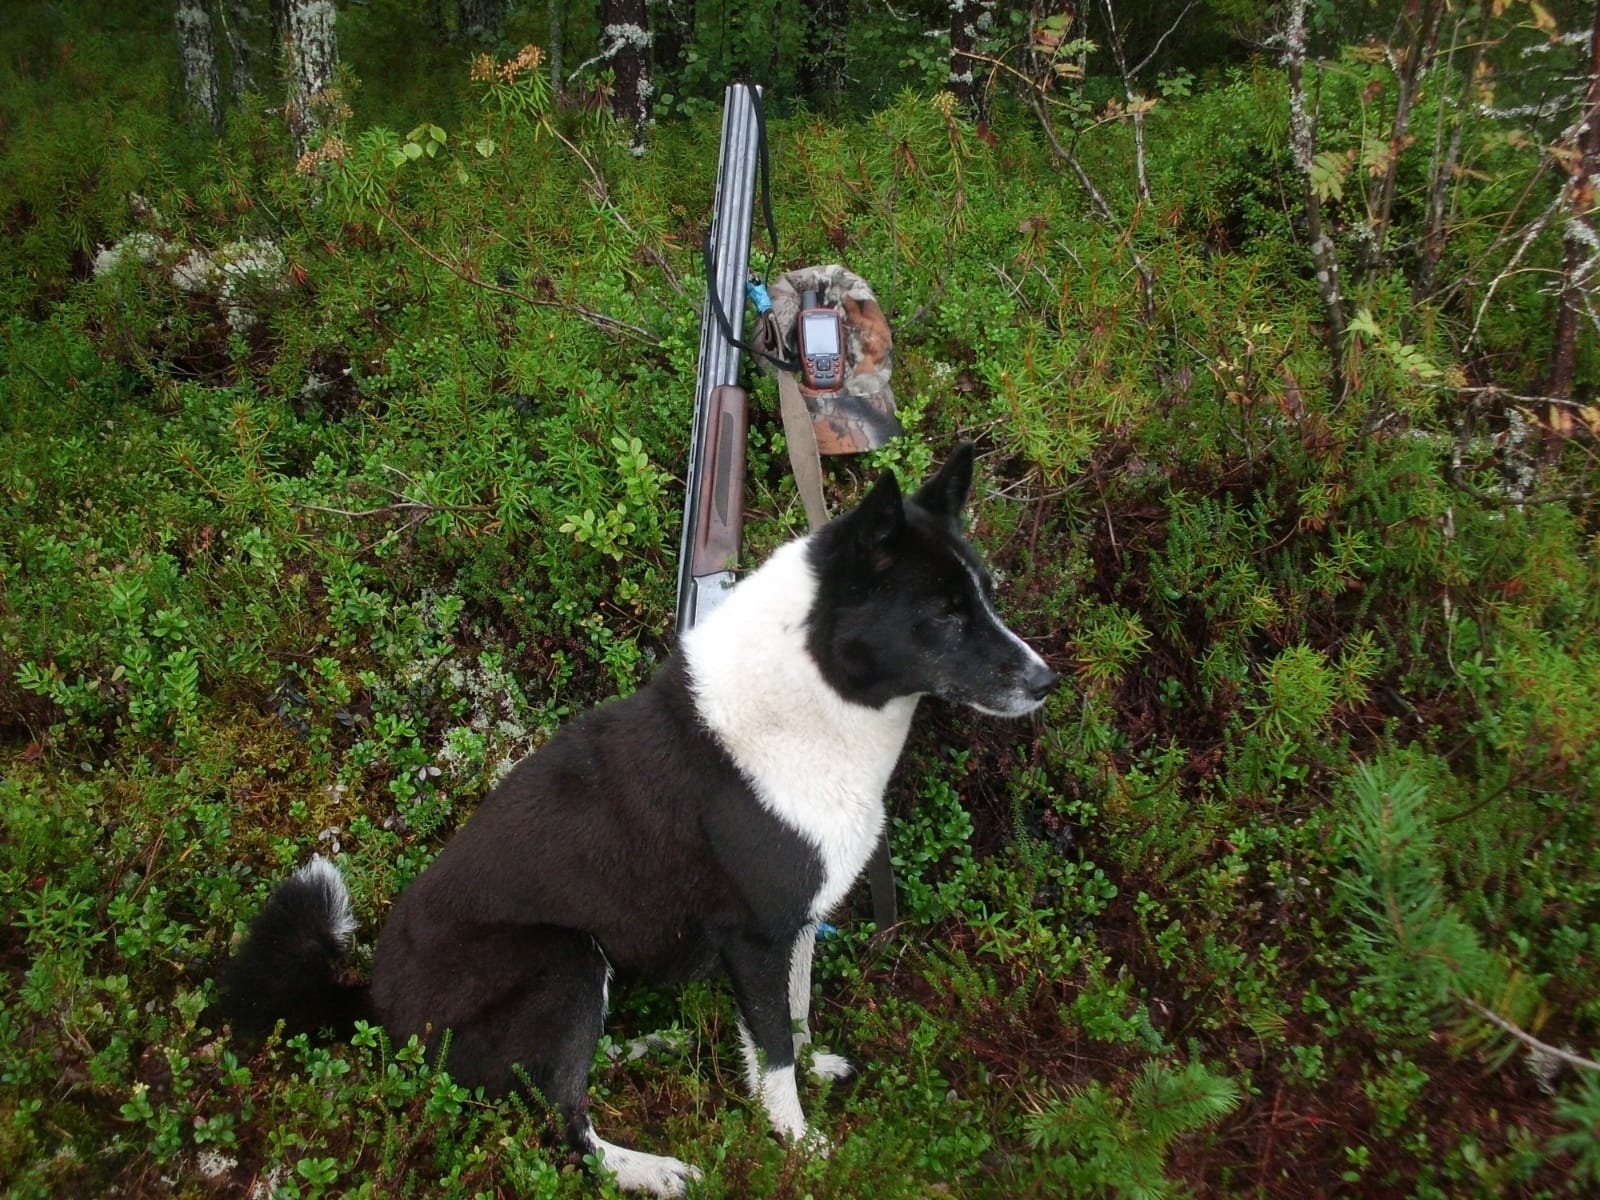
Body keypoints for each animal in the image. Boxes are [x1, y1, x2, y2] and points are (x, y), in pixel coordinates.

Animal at [219, 441, 1056, 1196]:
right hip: (562, 956)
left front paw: (808, 1072)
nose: (1047, 681)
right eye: (944, 616)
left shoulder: (794, 927)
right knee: (559, 1120)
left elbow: (793, 1019)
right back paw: (650, 1169)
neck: (819, 690)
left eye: (985, 594)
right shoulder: (754, 936)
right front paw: (800, 1147)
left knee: (544, 1073)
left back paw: (639, 1048)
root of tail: (372, 1002)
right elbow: (775, 1050)